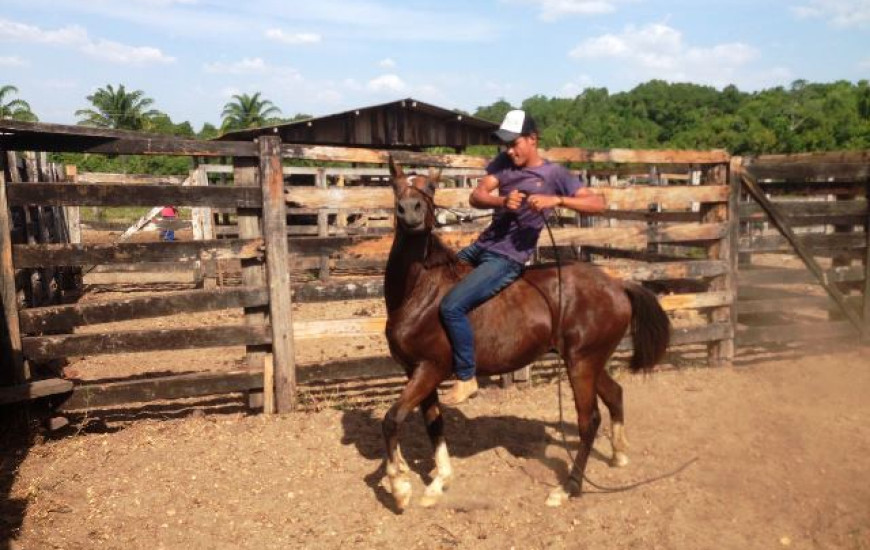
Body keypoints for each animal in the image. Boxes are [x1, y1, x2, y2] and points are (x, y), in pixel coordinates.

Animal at [384, 160, 676, 512]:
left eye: (430, 187)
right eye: (394, 184)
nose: (409, 211)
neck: (421, 291)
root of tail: (618, 285)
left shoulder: (430, 369)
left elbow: (393, 418)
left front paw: (399, 488)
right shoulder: (415, 370)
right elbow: (433, 425)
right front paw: (438, 482)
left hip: (581, 364)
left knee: (589, 420)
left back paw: (568, 488)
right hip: (589, 361)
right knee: (615, 394)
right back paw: (618, 455)